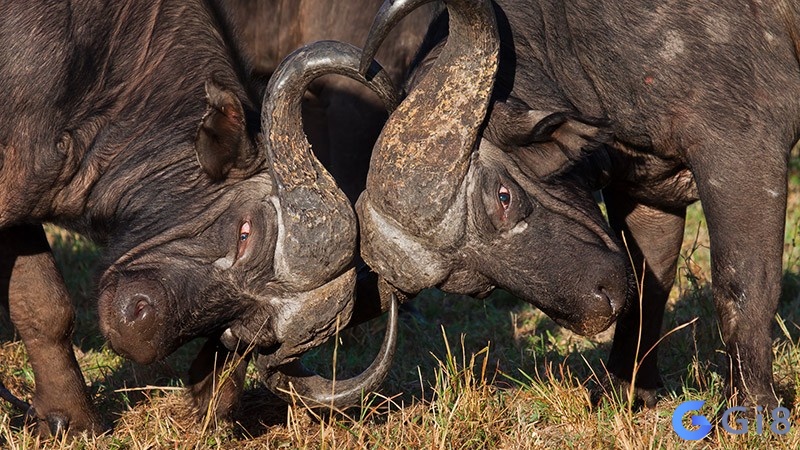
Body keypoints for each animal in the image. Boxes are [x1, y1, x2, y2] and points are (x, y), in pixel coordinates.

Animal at [0, 0, 396, 436]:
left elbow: (44, 305)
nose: (139, 332)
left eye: (247, 328)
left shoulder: (25, 195)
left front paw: (69, 418)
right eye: (245, 232)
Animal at [356, 0, 800, 410]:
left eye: (504, 196)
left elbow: (742, 285)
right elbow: (649, 282)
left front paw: (752, 408)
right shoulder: (645, 188)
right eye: (473, 283)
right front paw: (626, 387)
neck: (575, 37)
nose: (594, 310)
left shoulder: (742, 148)